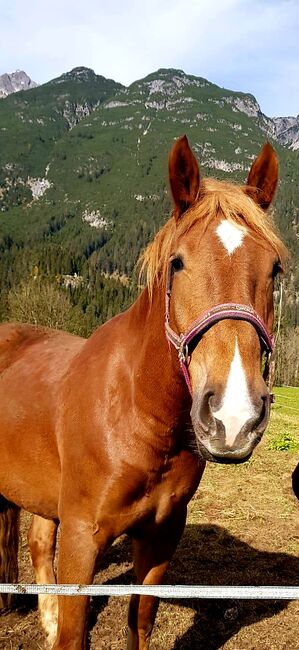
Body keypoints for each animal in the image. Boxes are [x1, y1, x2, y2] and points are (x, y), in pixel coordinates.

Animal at [0, 134, 286, 644]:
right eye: (178, 263)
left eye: (274, 269)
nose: (233, 418)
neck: (136, 411)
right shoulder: (81, 541)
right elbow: (75, 634)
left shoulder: (160, 539)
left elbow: (140, 622)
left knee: (37, 541)